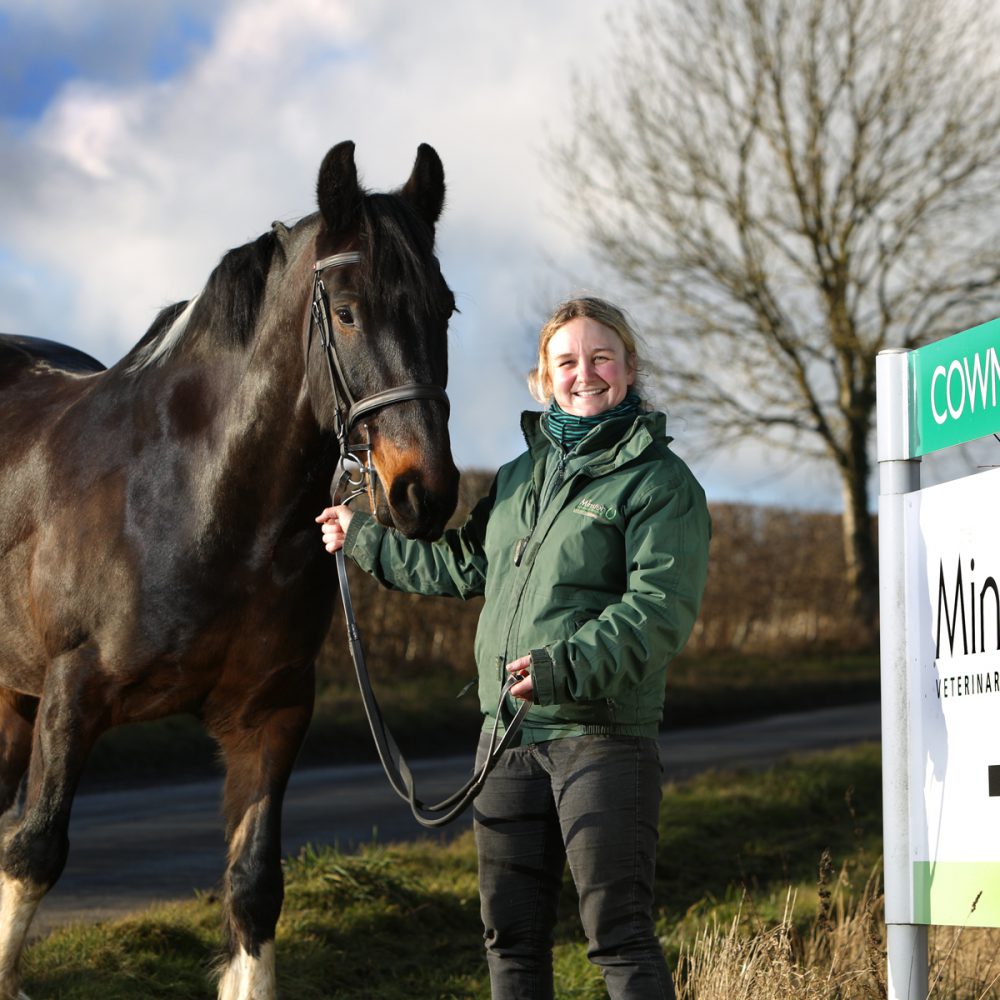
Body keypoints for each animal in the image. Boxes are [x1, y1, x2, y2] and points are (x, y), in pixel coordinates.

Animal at [0, 141, 460, 1000]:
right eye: (347, 311)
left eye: (443, 308)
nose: (424, 491)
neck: (194, 496)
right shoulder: (71, 696)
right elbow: (34, 851)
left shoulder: (270, 714)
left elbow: (253, 887)